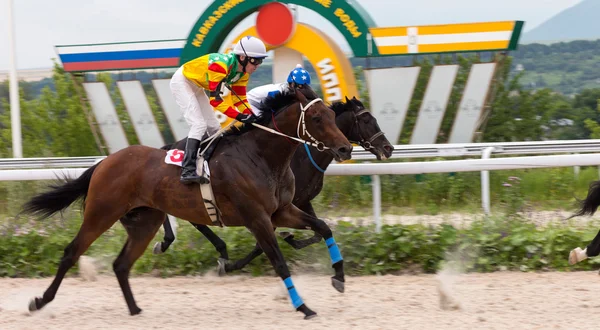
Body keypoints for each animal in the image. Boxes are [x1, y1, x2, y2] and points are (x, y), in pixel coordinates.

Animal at [22, 88, 352, 320]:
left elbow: (323, 228)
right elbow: (280, 262)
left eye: (333, 116)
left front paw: (338, 277)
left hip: (145, 222)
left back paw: (135, 309)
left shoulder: (282, 211)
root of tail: (105, 161)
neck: (261, 156)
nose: (345, 148)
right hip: (101, 213)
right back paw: (39, 301)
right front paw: (304, 307)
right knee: (72, 252)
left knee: (121, 264)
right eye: (317, 119)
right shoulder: (257, 219)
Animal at [154, 94, 394, 274]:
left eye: (333, 118)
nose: (388, 148)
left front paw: (291, 238)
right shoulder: (266, 211)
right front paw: (232, 265)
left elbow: (318, 229)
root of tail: (170, 146)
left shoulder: (299, 201)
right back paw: (172, 243)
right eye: (366, 120)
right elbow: (262, 246)